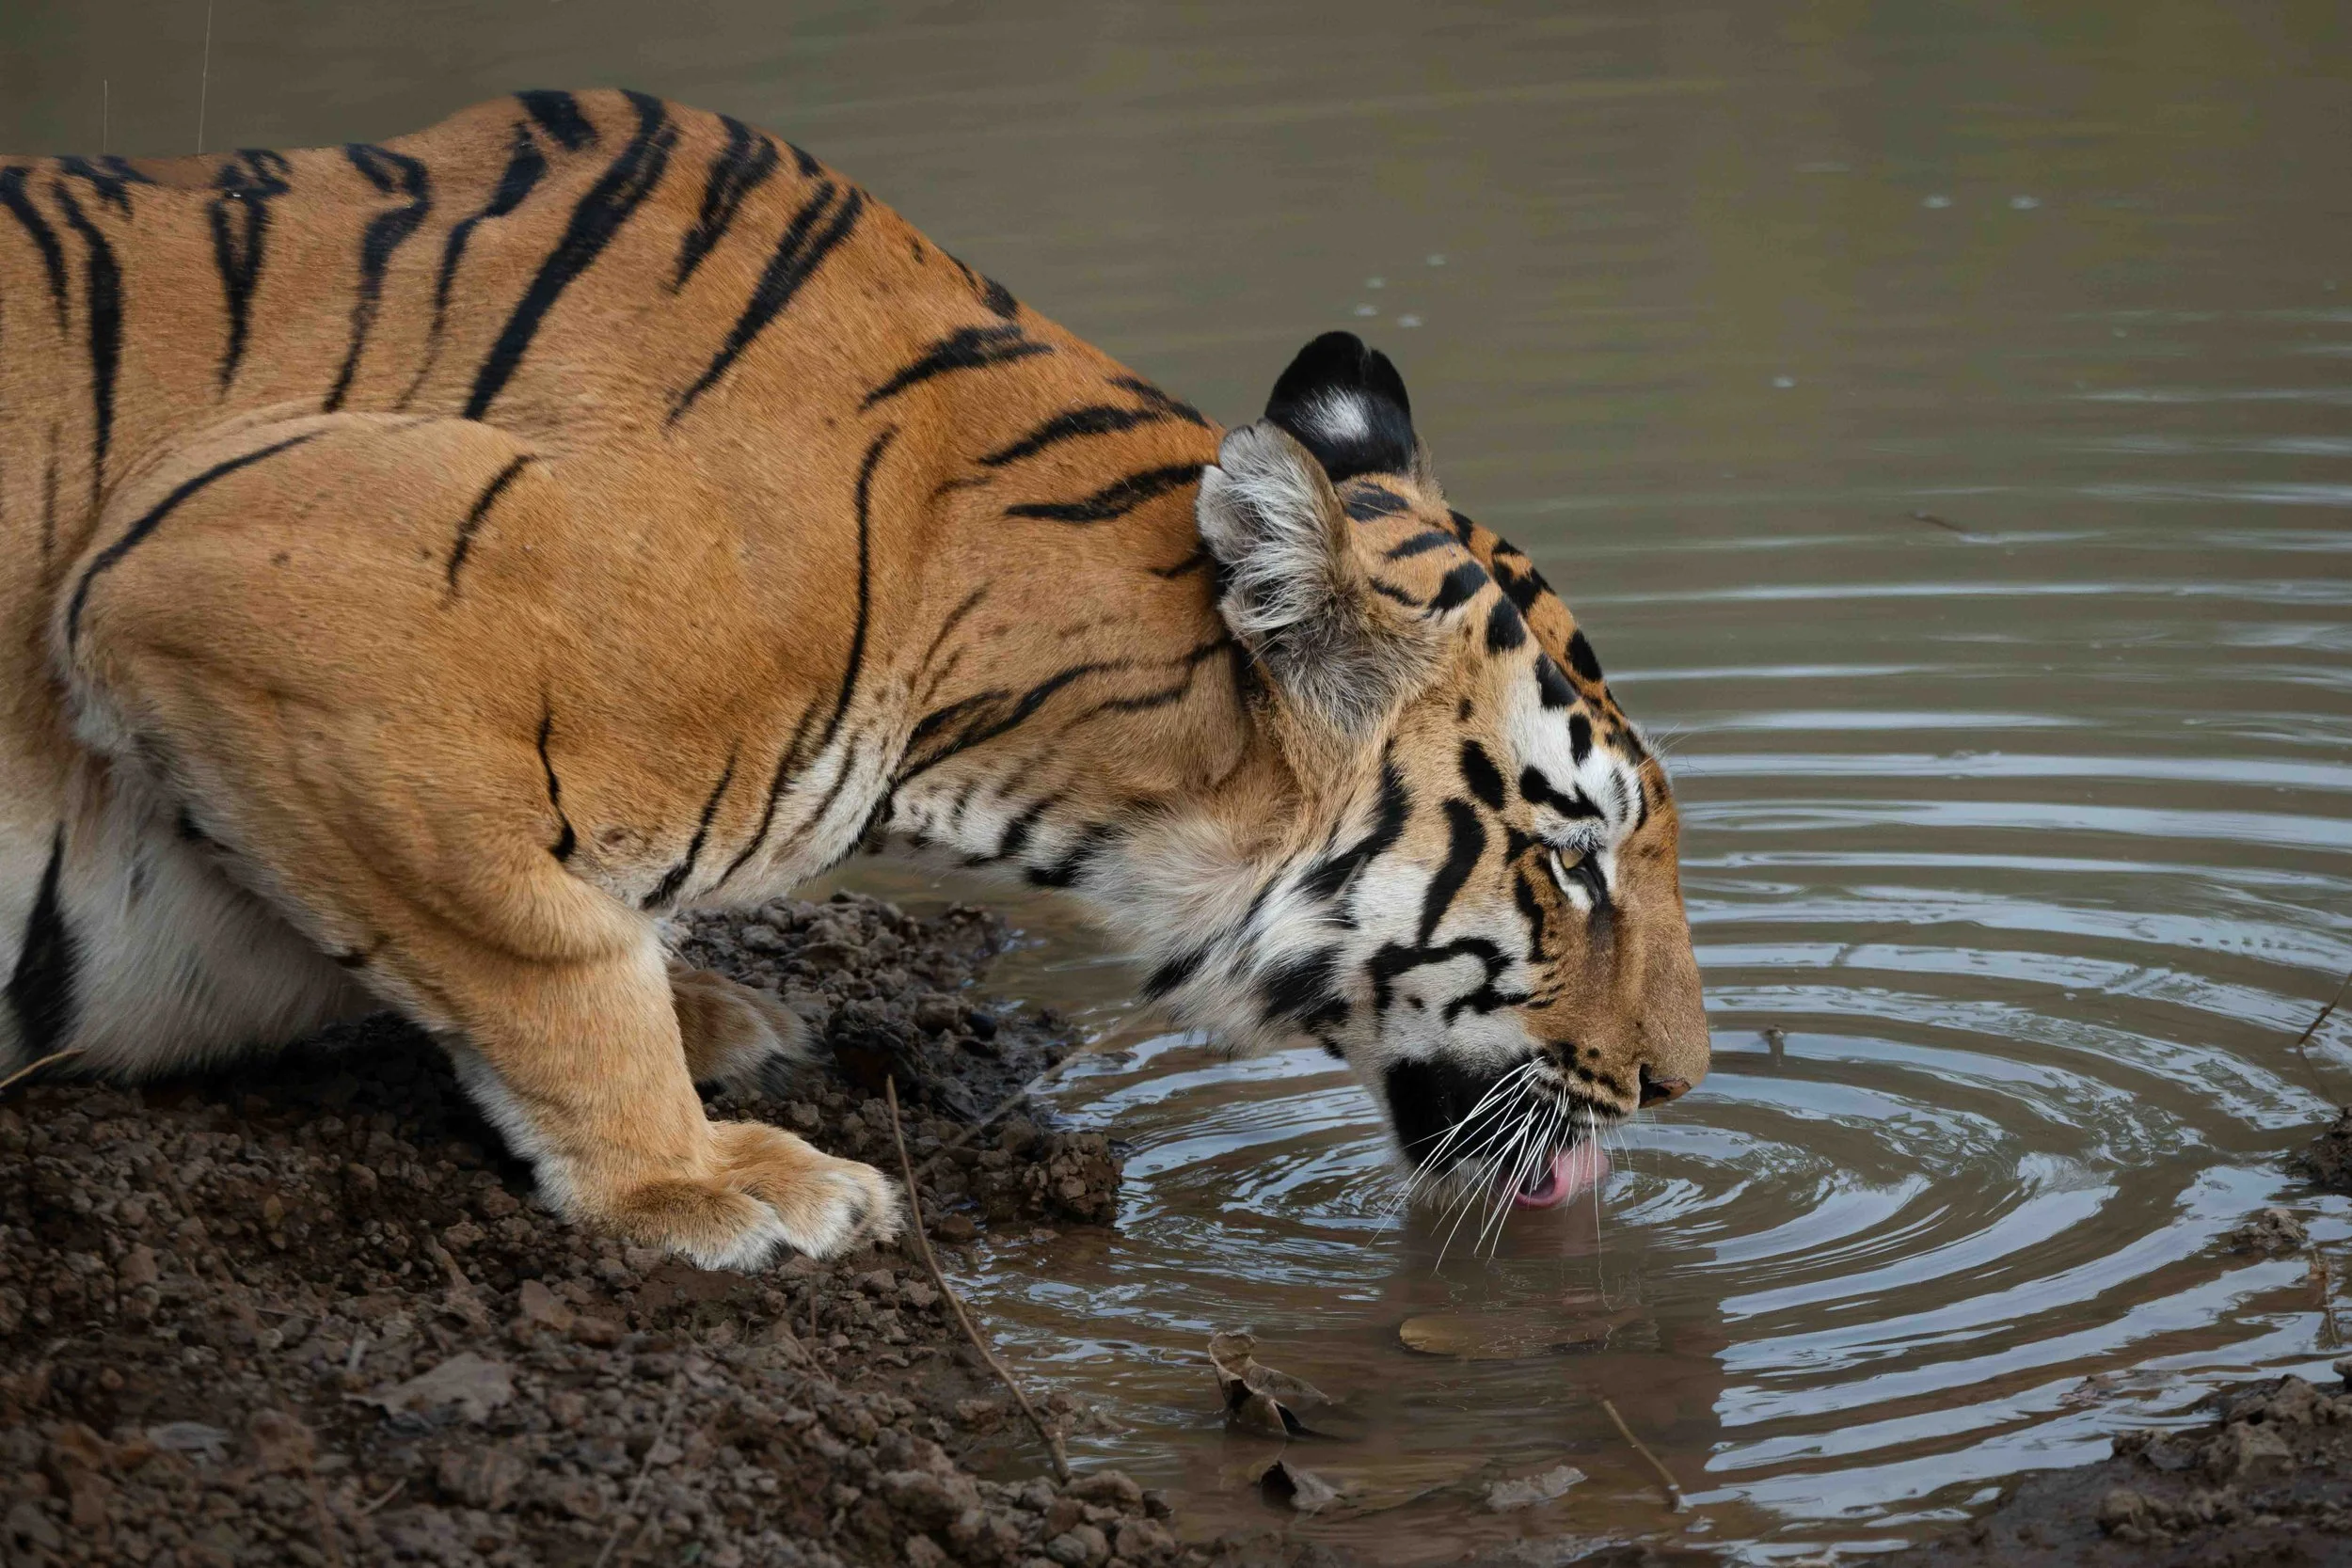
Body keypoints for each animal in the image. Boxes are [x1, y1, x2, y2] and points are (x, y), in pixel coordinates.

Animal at [0, 90, 1708, 1269]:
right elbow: (541, 947)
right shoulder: (223, 586)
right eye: (1572, 858)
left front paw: (709, 1018)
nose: (1681, 1081)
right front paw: (701, 1176)